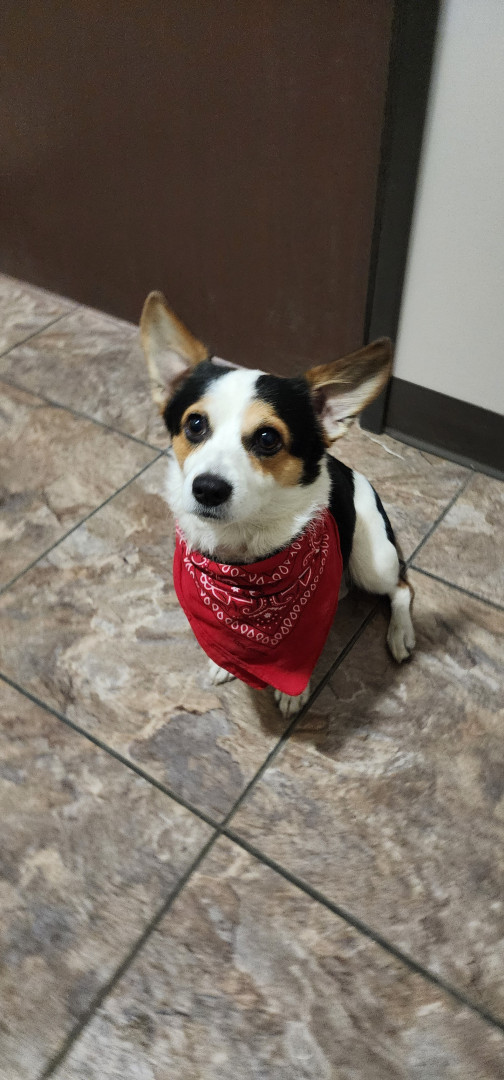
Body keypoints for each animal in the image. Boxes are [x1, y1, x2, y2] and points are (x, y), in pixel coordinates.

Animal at [140, 292, 415, 717]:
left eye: (268, 438)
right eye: (195, 424)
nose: (208, 489)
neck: (243, 555)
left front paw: (293, 692)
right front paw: (225, 663)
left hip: (372, 560)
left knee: (402, 586)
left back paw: (401, 633)